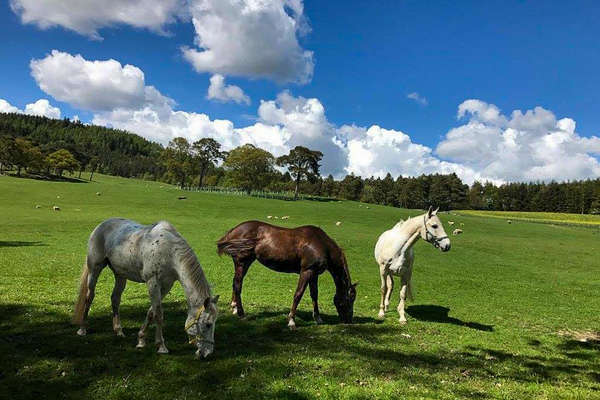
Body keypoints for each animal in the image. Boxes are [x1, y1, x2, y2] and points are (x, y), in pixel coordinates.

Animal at [72, 219, 218, 360]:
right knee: (89, 297)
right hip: (94, 269)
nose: (208, 353)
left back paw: (118, 331)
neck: (169, 251)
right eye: (208, 324)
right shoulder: (153, 282)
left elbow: (151, 311)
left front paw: (141, 340)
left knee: (115, 298)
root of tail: (101, 225)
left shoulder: (166, 285)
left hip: (120, 275)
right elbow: (158, 314)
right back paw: (82, 329)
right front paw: (161, 346)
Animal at [216, 220, 356, 330]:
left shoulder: (314, 274)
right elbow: (298, 294)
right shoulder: (306, 271)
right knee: (238, 285)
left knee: (235, 283)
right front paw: (291, 321)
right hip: (242, 262)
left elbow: (314, 295)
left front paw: (318, 318)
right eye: (350, 299)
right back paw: (241, 313)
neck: (321, 244)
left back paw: (234, 307)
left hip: (244, 263)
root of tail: (233, 231)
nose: (349, 321)